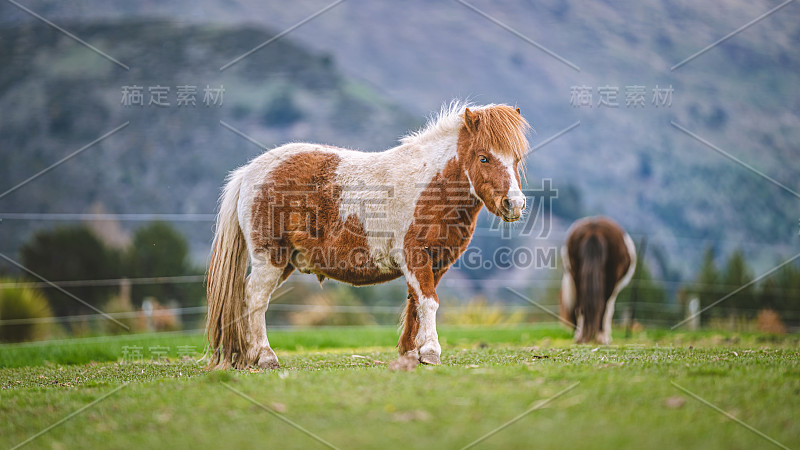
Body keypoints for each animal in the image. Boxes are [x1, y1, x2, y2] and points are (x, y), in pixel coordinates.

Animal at [206, 103, 532, 370]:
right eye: (484, 158)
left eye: (516, 158)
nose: (514, 204)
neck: (430, 187)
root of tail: (250, 171)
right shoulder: (415, 257)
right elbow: (428, 302)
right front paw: (430, 352)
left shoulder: (437, 262)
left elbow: (416, 304)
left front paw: (409, 354)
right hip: (270, 258)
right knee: (255, 298)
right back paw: (265, 356)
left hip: (284, 261)